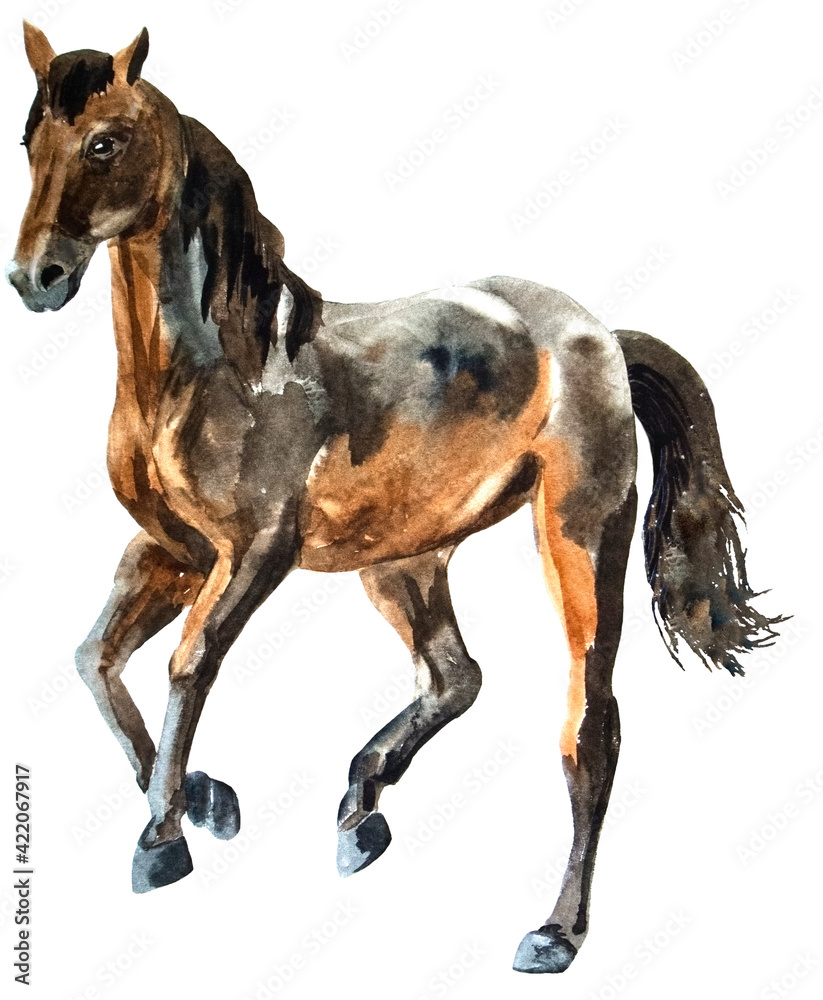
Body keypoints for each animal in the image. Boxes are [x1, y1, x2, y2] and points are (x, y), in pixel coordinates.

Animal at [8, 23, 782, 975]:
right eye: (28, 142)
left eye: (105, 143)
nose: (35, 277)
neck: (216, 369)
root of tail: (600, 334)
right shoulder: (172, 553)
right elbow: (94, 660)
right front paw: (204, 799)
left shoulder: (254, 553)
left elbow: (187, 665)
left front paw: (162, 840)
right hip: (402, 564)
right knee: (456, 676)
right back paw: (359, 811)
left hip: (576, 535)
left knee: (588, 729)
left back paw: (552, 933)